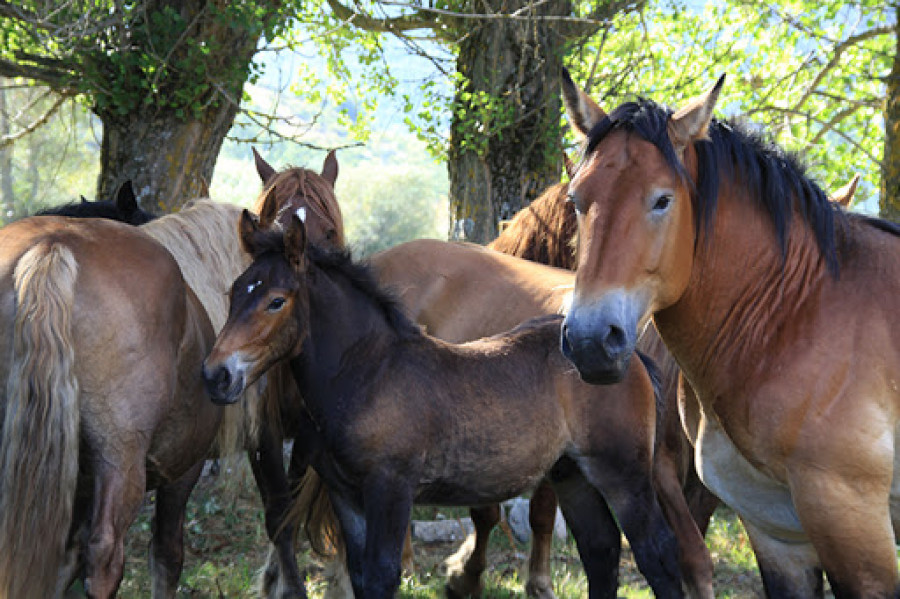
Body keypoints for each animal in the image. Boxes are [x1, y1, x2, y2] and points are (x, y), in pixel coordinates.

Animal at [560, 68, 896, 596]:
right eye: (576, 199)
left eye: (662, 200)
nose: (591, 342)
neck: (798, 315)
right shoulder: (774, 529)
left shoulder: (850, 520)